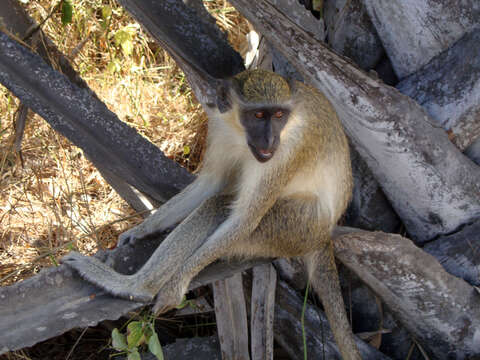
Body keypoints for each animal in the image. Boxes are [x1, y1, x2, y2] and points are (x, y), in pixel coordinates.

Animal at [62, 69, 358, 358]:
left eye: (279, 116)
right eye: (258, 115)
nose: (270, 139)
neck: (239, 132)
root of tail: (324, 235)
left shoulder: (288, 149)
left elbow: (244, 219)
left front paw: (174, 287)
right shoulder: (219, 125)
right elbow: (211, 183)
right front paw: (142, 229)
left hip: (292, 229)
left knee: (217, 209)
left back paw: (135, 287)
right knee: (214, 203)